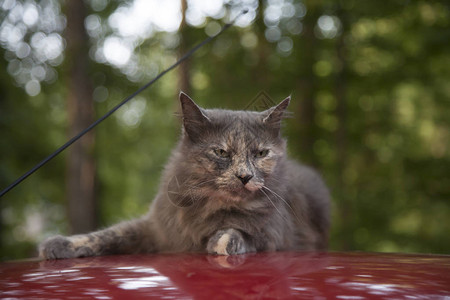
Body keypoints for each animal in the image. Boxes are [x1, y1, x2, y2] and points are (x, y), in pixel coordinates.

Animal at [39, 92, 330, 258]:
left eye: (260, 153)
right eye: (221, 152)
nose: (245, 176)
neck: (210, 206)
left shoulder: (275, 234)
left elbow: (238, 232)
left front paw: (219, 241)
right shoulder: (154, 228)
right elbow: (108, 234)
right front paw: (59, 244)